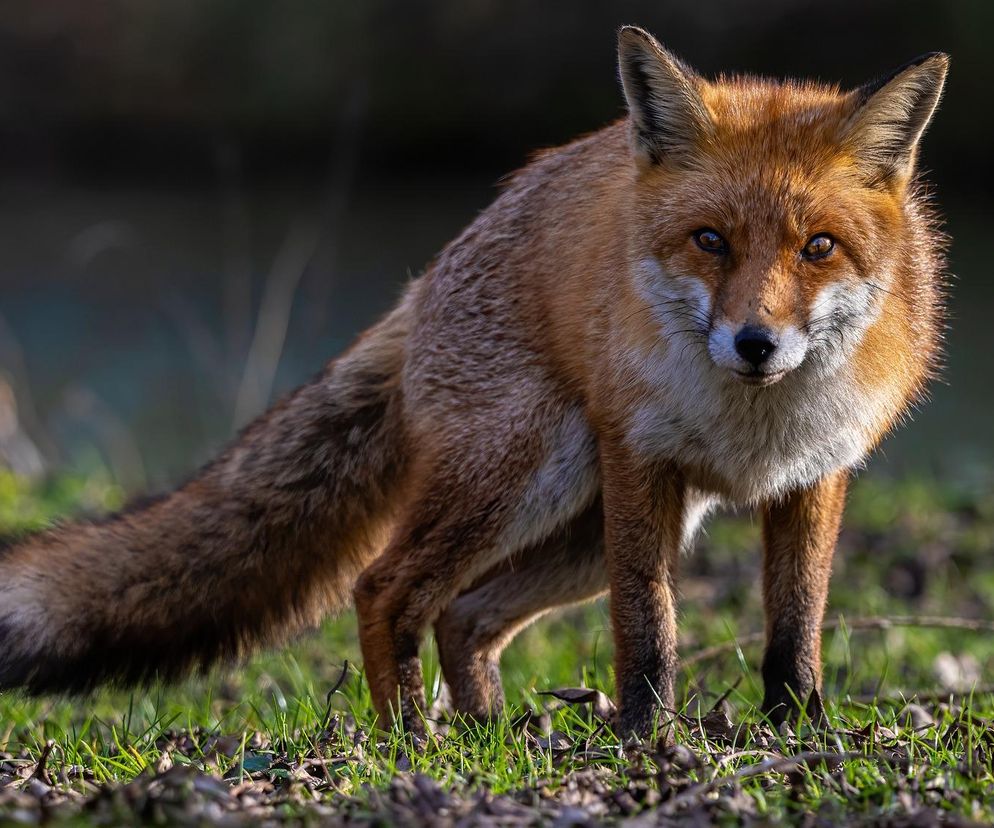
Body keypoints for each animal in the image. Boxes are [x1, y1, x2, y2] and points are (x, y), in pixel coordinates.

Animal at [0, 27, 944, 736]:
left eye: (818, 247)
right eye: (710, 240)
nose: (756, 344)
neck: (753, 424)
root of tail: (423, 285)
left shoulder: (816, 474)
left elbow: (797, 626)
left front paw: (799, 730)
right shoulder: (641, 460)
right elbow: (648, 629)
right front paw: (649, 740)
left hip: (584, 528)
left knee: (466, 614)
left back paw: (489, 732)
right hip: (530, 477)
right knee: (386, 589)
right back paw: (410, 739)